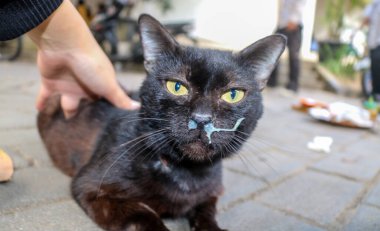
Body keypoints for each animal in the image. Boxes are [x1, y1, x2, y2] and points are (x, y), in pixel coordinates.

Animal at [37, 14, 284, 231]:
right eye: (177, 87)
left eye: (233, 94)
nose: (201, 118)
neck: (186, 173)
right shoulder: (90, 186)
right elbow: (143, 211)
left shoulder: (210, 194)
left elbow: (207, 212)